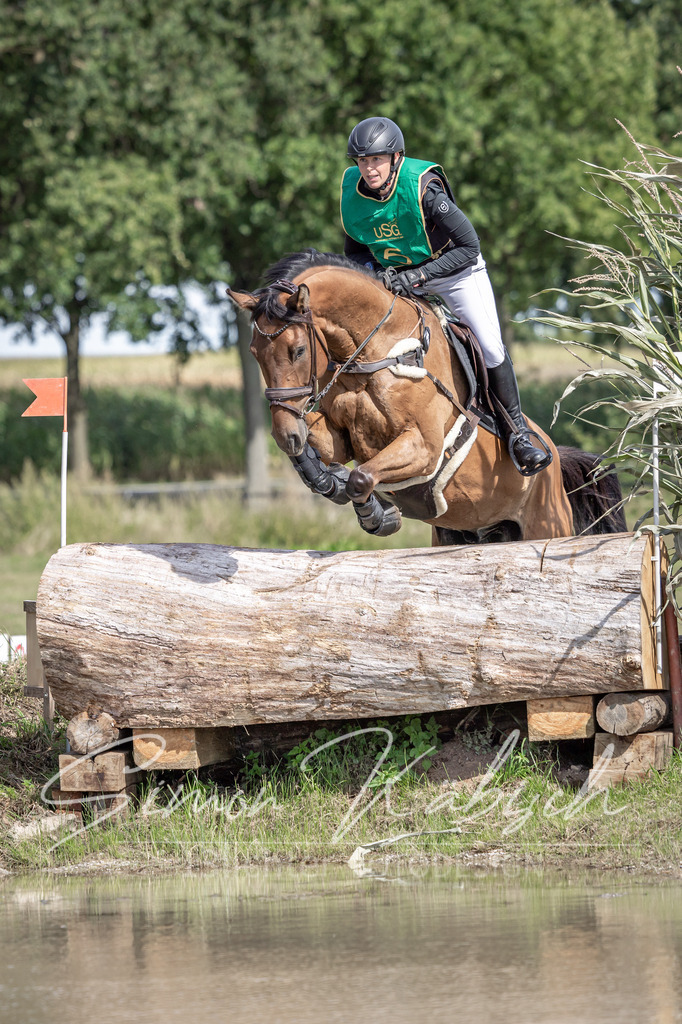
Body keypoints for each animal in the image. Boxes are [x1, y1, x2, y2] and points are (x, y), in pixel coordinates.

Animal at [228, 251, 625, 544]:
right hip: (458, 533)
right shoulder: (343, 438)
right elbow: (327, 452)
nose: (285, 433)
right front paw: (324, 477)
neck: (376, 351)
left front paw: (379, 516)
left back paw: (528, 450)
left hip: (545, 525)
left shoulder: (424, 447)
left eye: (297, 351)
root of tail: (555, 459)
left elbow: (362, 477)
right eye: (253, 353)